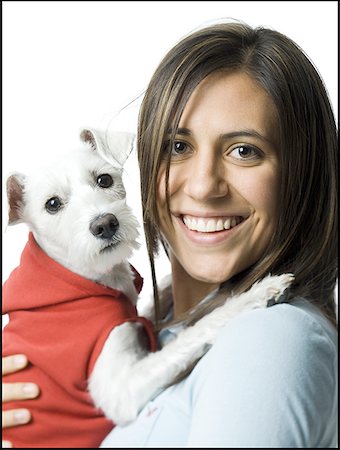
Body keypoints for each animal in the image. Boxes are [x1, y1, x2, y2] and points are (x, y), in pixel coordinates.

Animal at [2, 128, 294, 448]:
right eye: (52, 204)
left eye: (104, 179)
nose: (105, 224)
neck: (82, 276)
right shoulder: (123, 388)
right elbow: (192, 335)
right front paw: (255, 293)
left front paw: (167, 285)